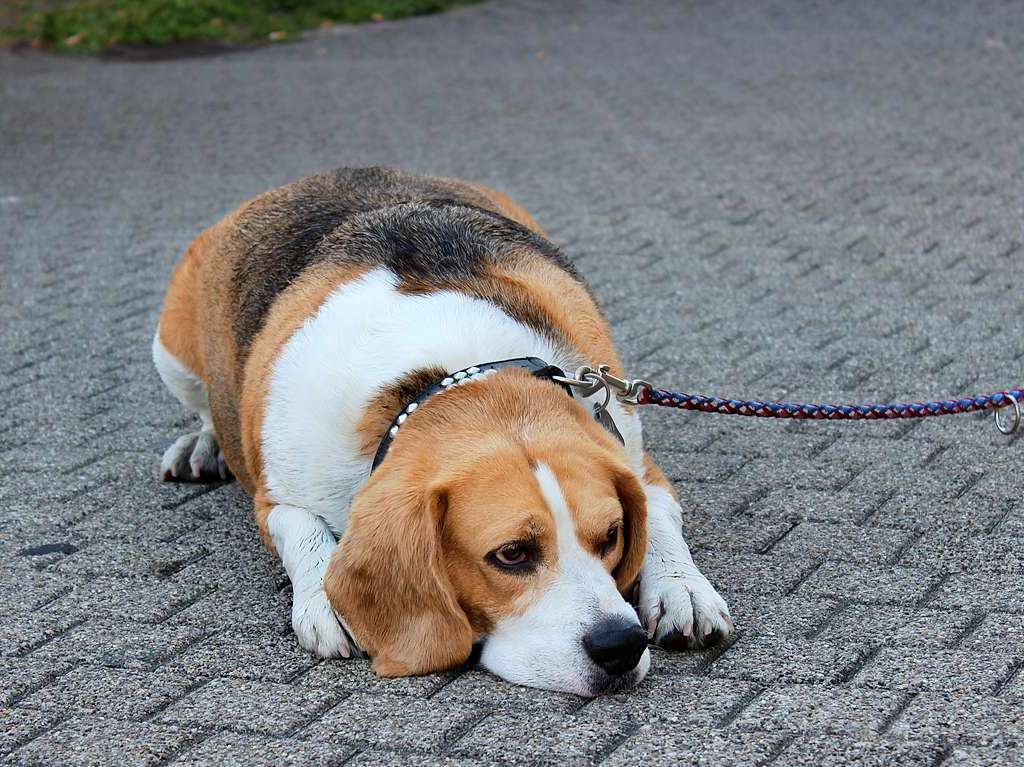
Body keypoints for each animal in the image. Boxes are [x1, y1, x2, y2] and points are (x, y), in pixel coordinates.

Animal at [151, 167, 733, 692]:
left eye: (611, 535)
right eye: (512, 554)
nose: (621, 645)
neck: (454, 376)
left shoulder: (631, 450)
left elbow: (658, 517)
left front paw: (682, 588)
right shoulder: (278, 497)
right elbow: (304, 533)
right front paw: (326, 598)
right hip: (171, 352)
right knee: (204, 408)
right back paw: (203, 445)